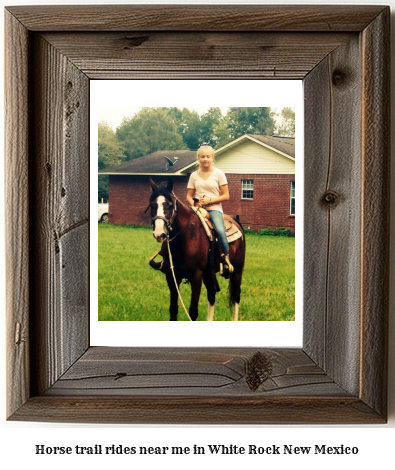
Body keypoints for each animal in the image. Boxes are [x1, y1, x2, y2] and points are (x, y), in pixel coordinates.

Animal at [148, 178, 246, 322]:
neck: (185, 239)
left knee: (236, 296)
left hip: (237, 270)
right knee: (212, 294)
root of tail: (235, 220)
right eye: (152, 205)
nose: (159, 233)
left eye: (170, 205)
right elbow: (173, 310)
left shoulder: (196, 276)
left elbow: (193, 312)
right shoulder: (172, 276)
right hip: (208, 274)